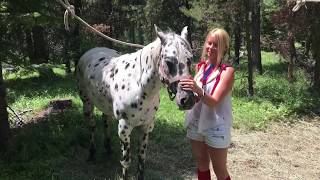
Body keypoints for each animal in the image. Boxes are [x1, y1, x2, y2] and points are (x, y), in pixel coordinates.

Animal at [76, 25, 196, 179]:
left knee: (105, 121)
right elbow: (126, 161)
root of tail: (90, 52)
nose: (187, 99)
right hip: (87, 103)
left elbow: (141, 158)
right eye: (169, 61)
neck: (139, 85)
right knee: (91, 126)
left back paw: (108, 148)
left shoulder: (146, 127)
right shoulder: (124, 128)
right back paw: (92, 154)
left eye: (190, 60)